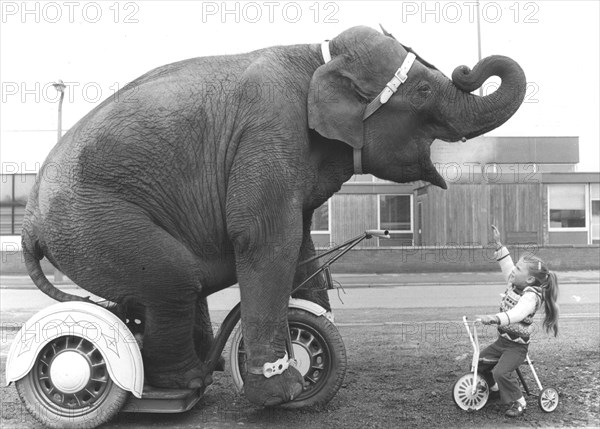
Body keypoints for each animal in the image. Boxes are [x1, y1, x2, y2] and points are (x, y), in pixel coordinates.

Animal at [21, 25, 524, 406]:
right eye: (422, 90)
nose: (466, 69)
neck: (317, 57)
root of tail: (28, 222)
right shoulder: (269, 129)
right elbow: (267, 240)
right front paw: (283, 392)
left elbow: (298, 238)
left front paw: (311, 337)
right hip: (91, 222)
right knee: (174, 279)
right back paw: (187, 383)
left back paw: (200, 371)